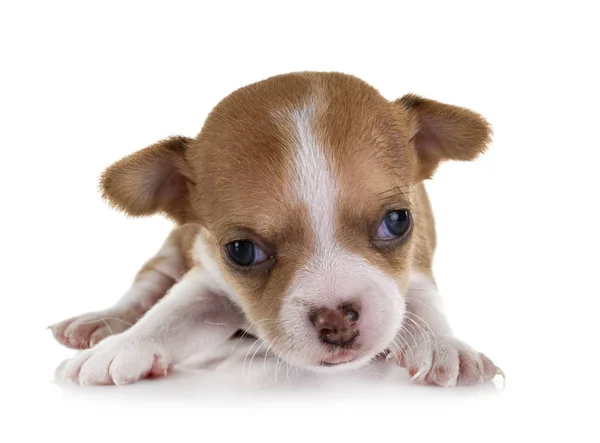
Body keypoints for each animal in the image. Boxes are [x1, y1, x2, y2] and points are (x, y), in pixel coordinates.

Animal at [49, 71, 502, 386]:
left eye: (397, 221)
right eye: (241, 251)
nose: (337, 320)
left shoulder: (416, 263)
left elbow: (422, 301)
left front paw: (444, 346)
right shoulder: (207, 280)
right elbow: (169, 314)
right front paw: (121, 348)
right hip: (171, 250)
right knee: (146, 289)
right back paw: (100, 322)